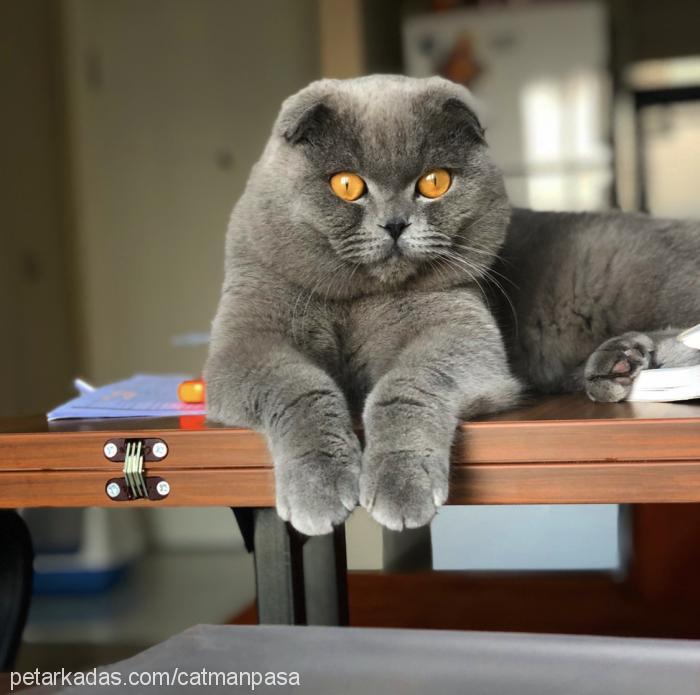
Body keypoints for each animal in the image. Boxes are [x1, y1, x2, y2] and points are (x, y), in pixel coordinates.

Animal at [205, 76, 700, 536]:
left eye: (434, 182)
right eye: (346, 185)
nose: (395, 223)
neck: (360, 300)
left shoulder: (460, 330)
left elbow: (405, 384)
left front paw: (401, 486)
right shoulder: (245, 343)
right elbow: (299, 387)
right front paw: (319, 488)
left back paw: (620, 361)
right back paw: (616, 366)